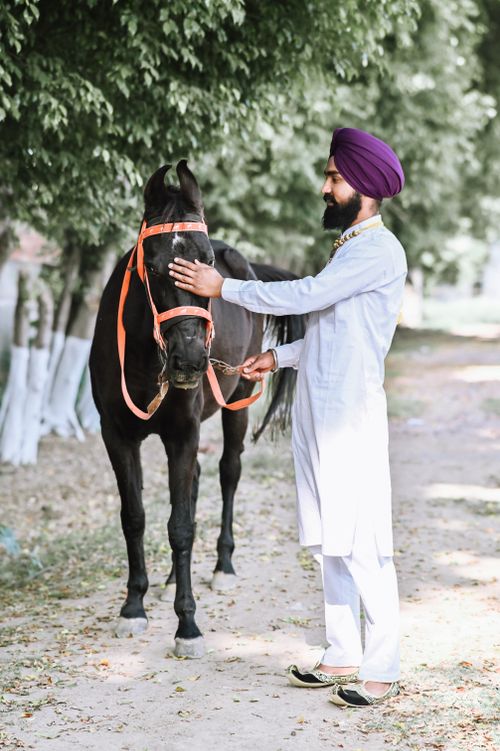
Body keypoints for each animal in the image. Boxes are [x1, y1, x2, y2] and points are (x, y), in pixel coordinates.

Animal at [89, 160, 304, 658]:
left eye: (205, 263)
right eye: (152, 265)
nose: (189, 359)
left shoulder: (183, 433)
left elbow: (181, 526)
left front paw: (187, 625)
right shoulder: (117, 435)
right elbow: (135, 518)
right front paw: (134, 607)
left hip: (237, 403)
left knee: (228, 472)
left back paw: (223, 567)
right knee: (196, 483)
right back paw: (170, 579)